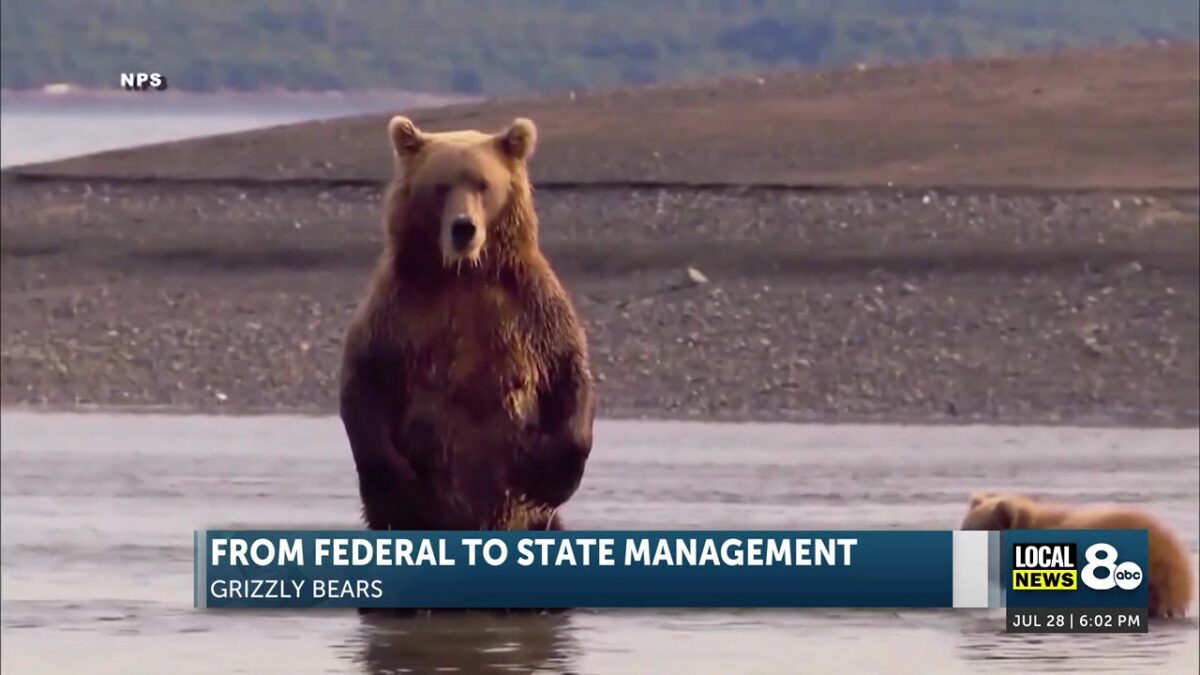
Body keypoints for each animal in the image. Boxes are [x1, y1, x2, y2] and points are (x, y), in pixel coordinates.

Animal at [338, 114, 596, 536]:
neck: (463, 273)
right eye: (440, 186)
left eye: (483, 184)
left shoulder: (530, 309)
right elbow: (365, 380)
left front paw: (546, 477)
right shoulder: (398, 314)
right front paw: (397, 481)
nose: (464, 228)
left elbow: (568, 370)